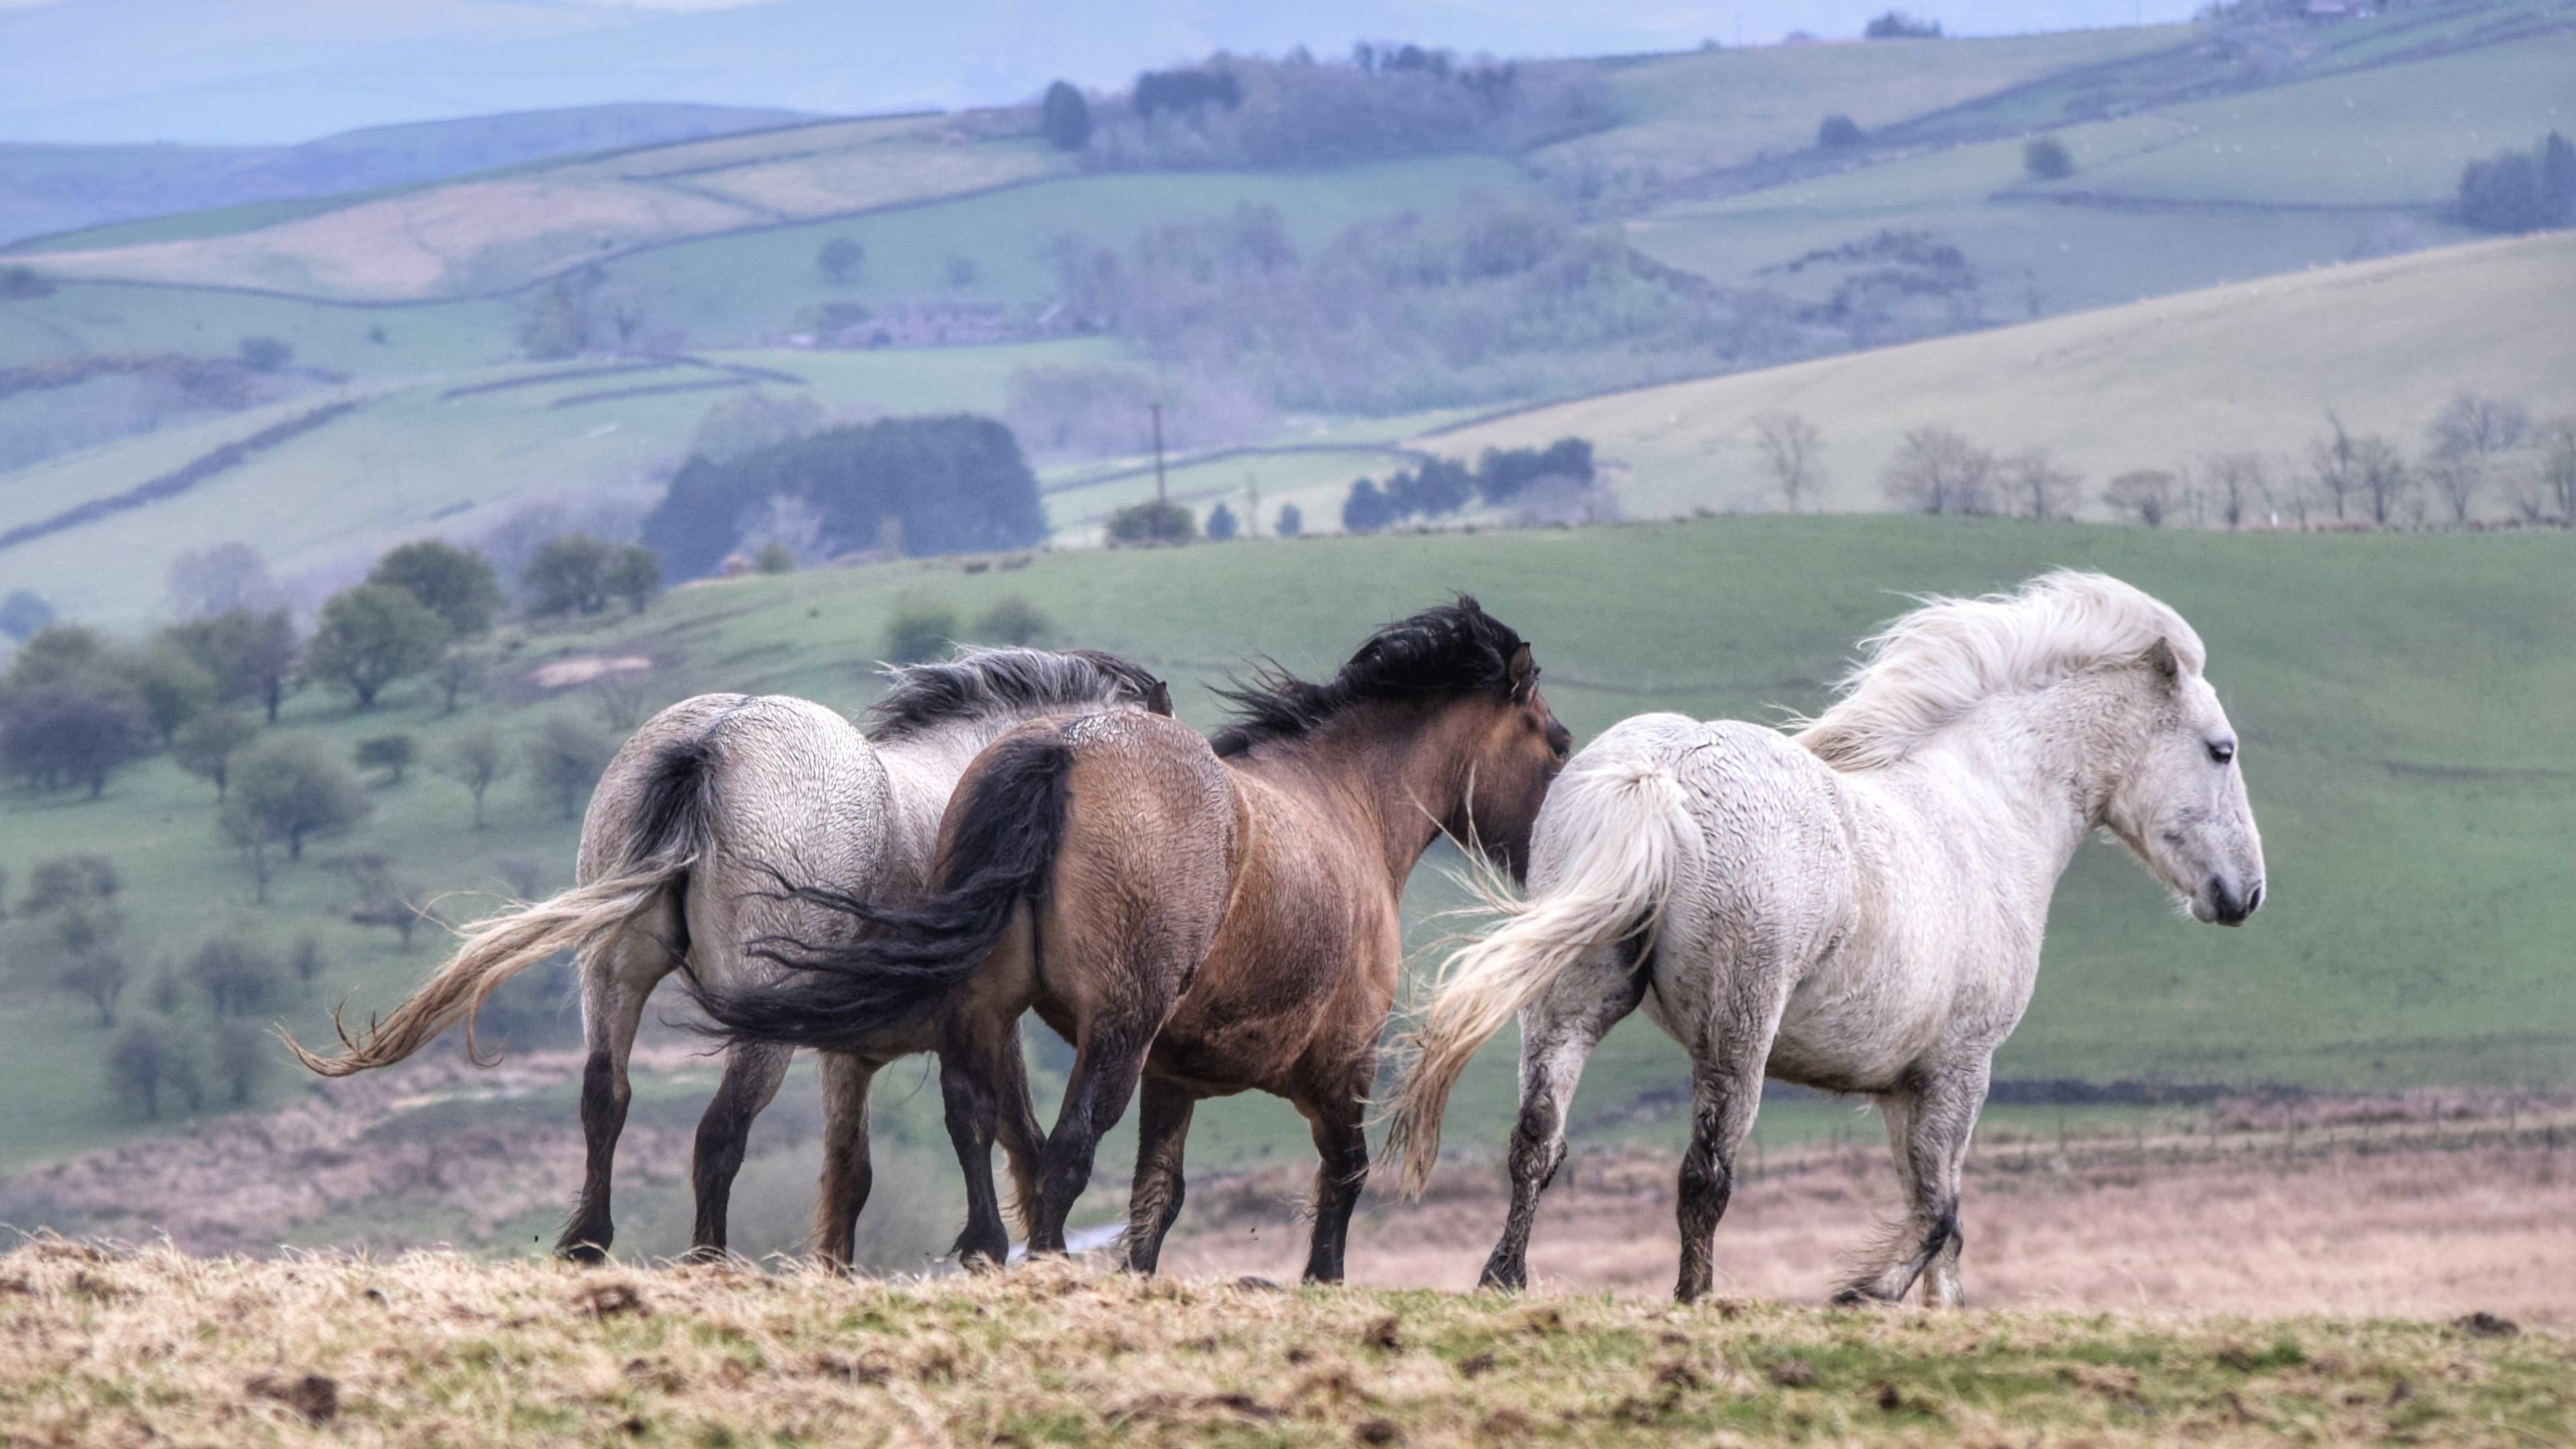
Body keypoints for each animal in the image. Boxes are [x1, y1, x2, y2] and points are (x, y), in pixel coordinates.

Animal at [283, 647, 1170, 1267]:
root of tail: (712, 740)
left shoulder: (850, 1058)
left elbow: (851, 1175)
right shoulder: (979, 1027)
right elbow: (1006, 1132)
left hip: (614, 978)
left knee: (605, 1096)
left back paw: (587, 1245)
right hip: (756, 1021)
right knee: (720, 1131)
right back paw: (705, 1259)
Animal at [692, 598, 1572, 1281]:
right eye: (1557, 746)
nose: (1545, 860)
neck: (1344, 800)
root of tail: (1064, 745)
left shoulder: (1175, 1073)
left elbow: (1160, 1194)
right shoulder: (1343, 1060)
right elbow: (1342, 1176)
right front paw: (1323, 1281)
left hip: (987, 1013)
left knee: (975, 1119)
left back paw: (987, 1250)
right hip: (1116, 1027)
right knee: (1067, 1147)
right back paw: (1044, 1264)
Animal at [1381, 571, 2265, 1305]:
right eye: (2221, 750)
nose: (2246, 893)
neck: (1985, 812)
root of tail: (1662, 775)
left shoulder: (1904, 1093)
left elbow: (1941, 1226)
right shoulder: (1959, 1071)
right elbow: (1939, 1215)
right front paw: (1861, 1294)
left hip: (1570, 1005)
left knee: (1538, 1139)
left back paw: (1505, 1280)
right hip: (1737, 1035)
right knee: (1705, 1174)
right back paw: (1696, 1300)